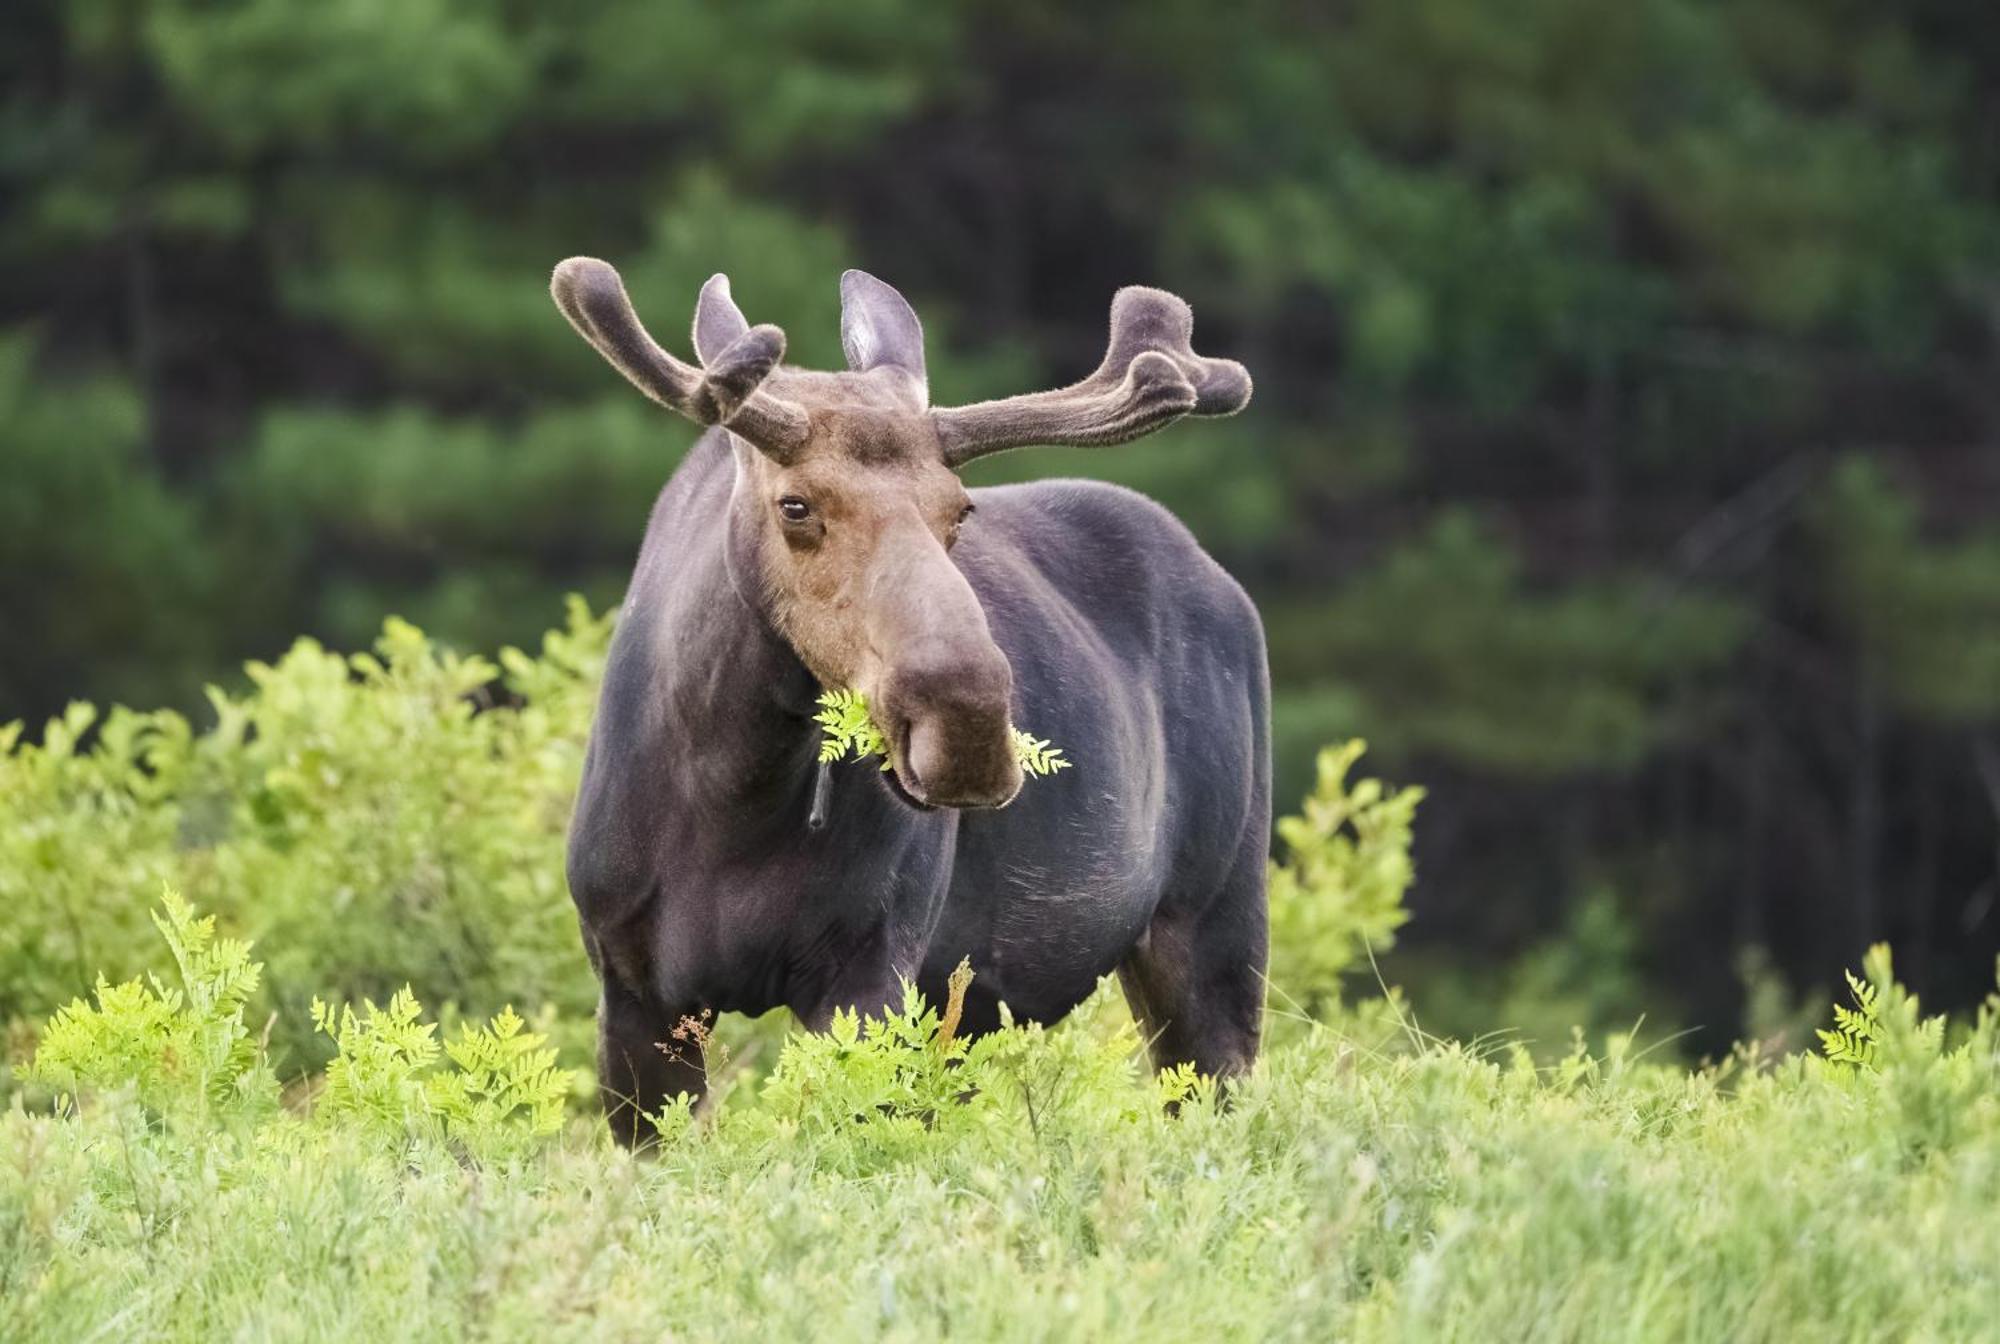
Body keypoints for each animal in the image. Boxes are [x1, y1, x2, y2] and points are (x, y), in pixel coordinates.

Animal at [552, 260, 1264, 1144]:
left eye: (959, 509)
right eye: (795, 505)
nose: (966, 726)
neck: (733, 788)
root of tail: (1225, 582)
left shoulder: (870, 966)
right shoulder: (630, 983)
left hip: (1215, 918)